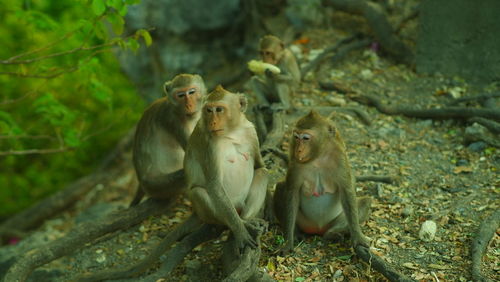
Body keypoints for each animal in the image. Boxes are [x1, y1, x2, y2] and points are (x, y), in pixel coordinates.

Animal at [185, 85, 270, 251]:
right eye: (208, 110)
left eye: (219, 109)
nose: (212, 122)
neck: (233, 132)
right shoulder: (209, 145)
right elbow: (215, 185)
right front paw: (240, 231)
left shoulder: (251, 131)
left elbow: (260, 166)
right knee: (199, 192)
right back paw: (237, 224)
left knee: (262, 173)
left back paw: (248, 219)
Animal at [274, 110, 372, 253]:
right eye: (296, 137)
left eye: (306, 138)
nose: (298, 150)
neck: (318, 157)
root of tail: (318, 229)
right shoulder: (295, 163)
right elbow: (292, 192)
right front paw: (288, 242)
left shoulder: (340, 159)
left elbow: (347, 191)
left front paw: (358, 237)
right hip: (305, 222)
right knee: (281, 187)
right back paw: (296, 233)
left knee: (365, 201)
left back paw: (332, 234)